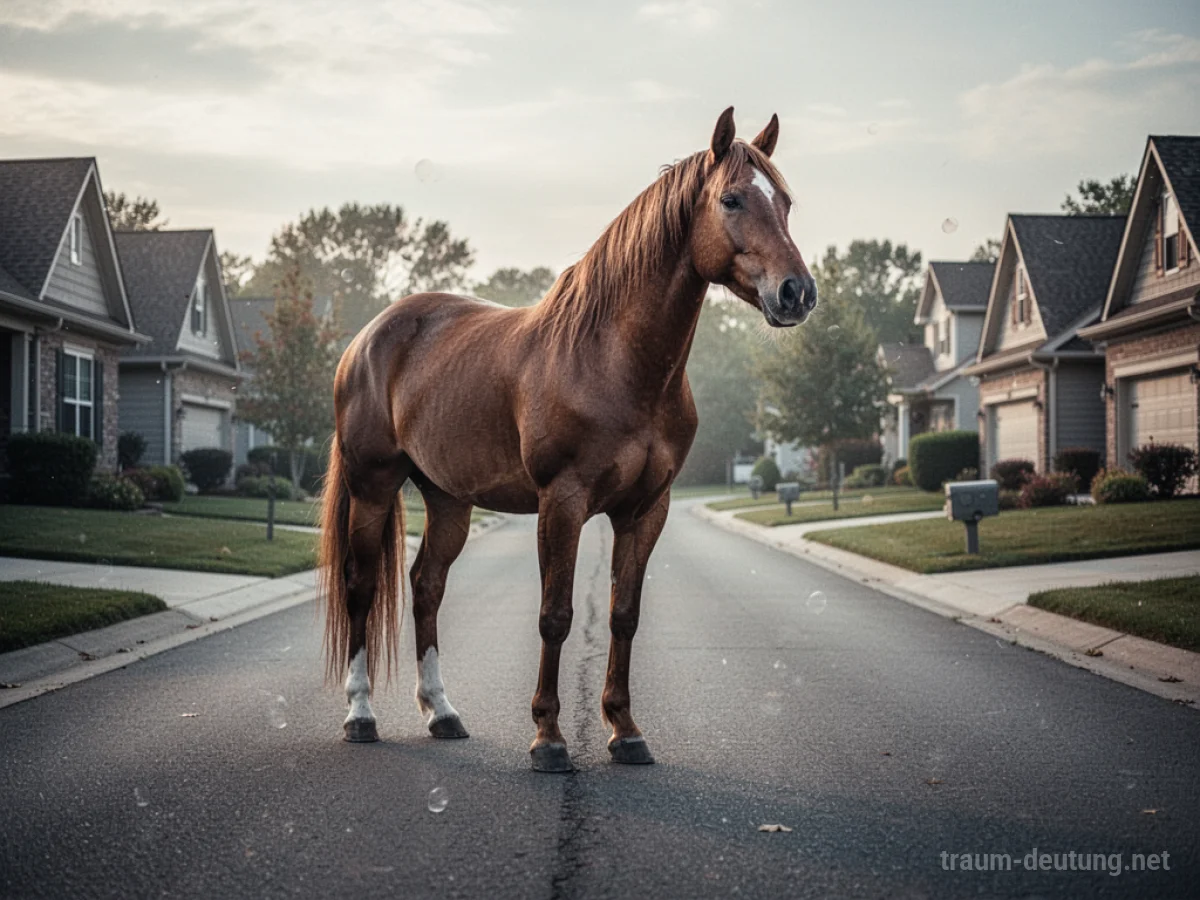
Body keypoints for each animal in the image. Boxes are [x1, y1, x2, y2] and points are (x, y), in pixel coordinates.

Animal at [318, 107, 817, 773]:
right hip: (373, 487)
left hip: (448, 499)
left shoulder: (646, 509)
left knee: (426, 587)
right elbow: (555, 616)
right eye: (732, 199)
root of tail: (368, 337)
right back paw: (360, 715)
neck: (614, 361)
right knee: (361, 586)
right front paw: (549, 739)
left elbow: (624, 616)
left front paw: (625, 731)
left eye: (785, 202)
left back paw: (442, 713)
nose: (797, 292)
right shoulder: (563, 501)